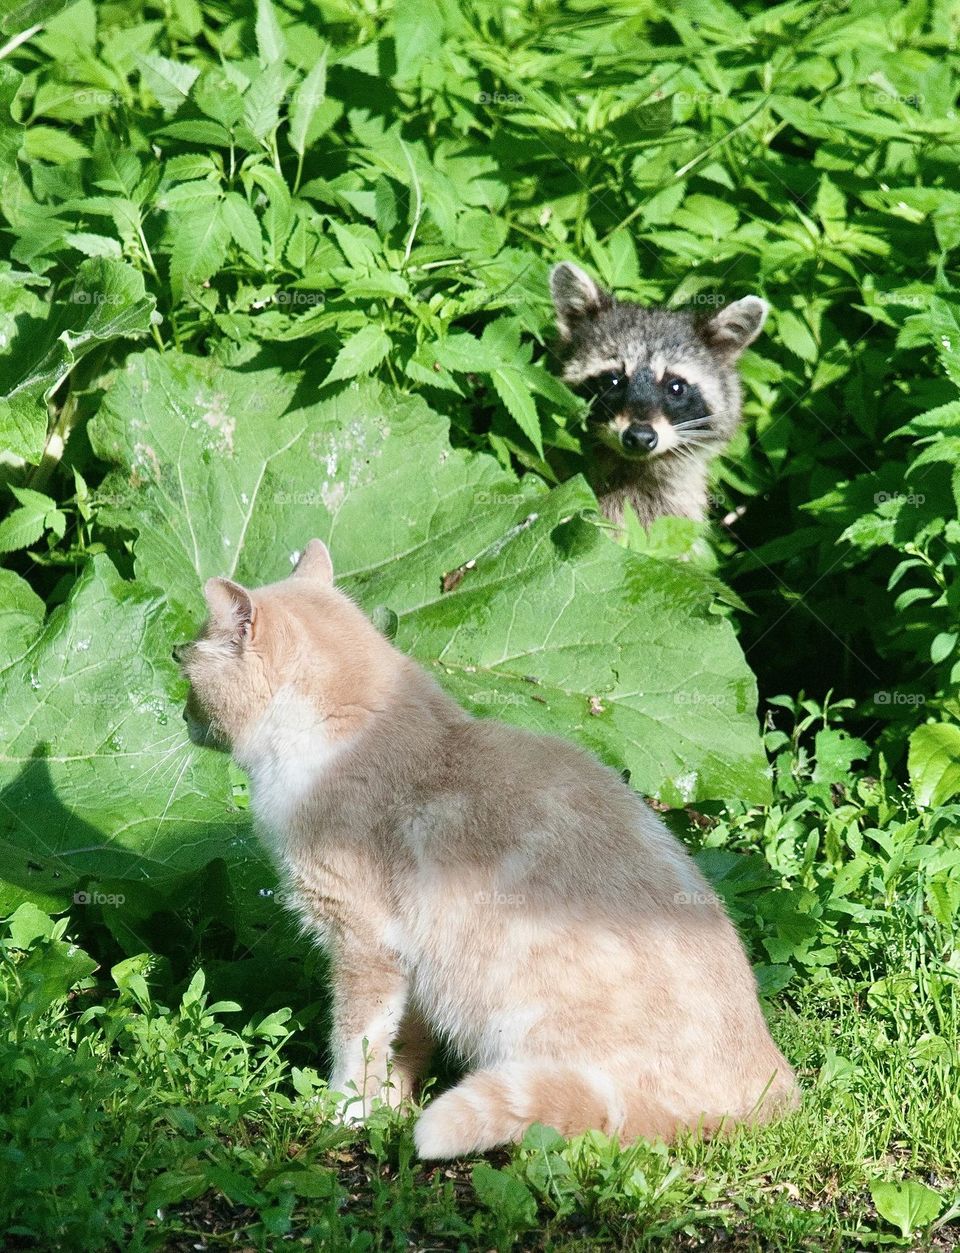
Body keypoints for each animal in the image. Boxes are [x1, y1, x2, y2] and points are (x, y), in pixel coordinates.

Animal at [176, 543, 802, 1157]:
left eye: (183, 667)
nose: (182, 716)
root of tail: (775, 1095)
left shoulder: (364, 943)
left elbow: (356, 1042)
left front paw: (344, 1112)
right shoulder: (414, 960)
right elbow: (403, 1042)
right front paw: (392, 1104)